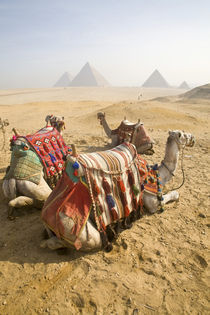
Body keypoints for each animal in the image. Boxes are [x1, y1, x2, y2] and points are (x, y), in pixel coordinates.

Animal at [41, 130, 195, 253]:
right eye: (183, 134)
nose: (193, 138)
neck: (157, 175)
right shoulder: (150, 202)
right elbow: (170, 196)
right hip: (79, 231)